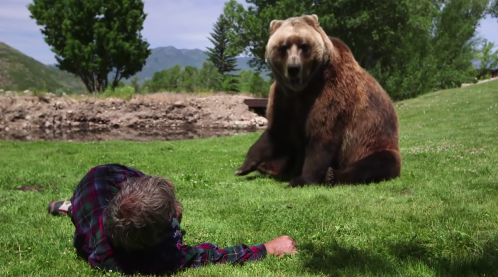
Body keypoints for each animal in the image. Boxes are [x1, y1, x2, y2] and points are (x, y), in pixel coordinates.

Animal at [235, 14, 402, 187]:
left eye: (304, 46)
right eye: (283, 47)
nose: (293, 68)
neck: (303, 89)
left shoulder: (333, 93)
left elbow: (322, 137)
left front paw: (301, 179)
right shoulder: (283, 97)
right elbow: (277, 131)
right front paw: (244, 167)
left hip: (373, 142)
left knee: (377, 162)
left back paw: (331, 175)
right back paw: (268, 167)